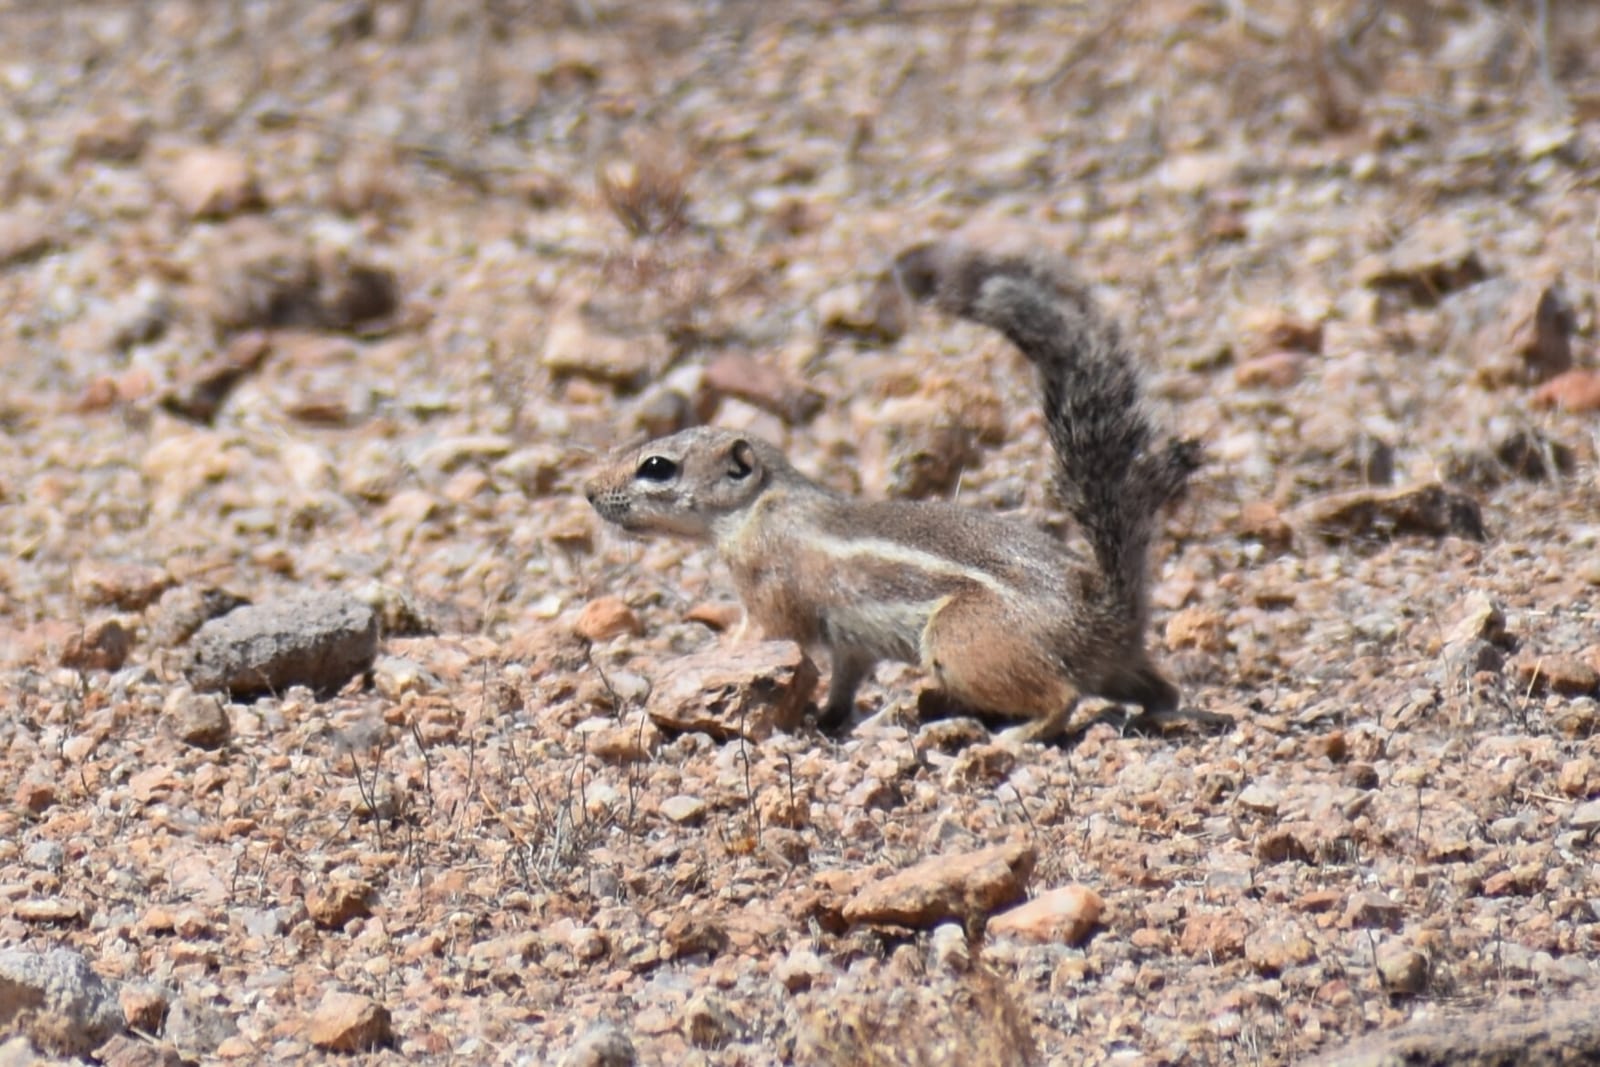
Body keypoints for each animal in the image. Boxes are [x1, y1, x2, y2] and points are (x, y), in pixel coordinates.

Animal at [584, 238, 1201, 740]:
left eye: (657, 466)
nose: (589, 491)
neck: (759, 507)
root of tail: (1107, 608)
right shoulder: (849, 642)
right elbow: (845, 675)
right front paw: (829, 718)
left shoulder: (770, 596)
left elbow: (755, 636)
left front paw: (710, 656)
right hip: (1115, 666)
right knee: (1161, 690)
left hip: (960, 643)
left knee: (1062, 697)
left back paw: (1009, 738)